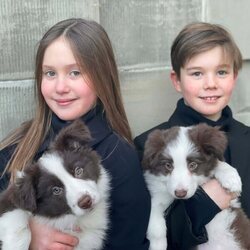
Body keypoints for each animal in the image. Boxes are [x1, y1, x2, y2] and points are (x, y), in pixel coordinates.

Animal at [0, 120, 110, 249]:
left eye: (78, 171)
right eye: (56, 190)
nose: (86, 202)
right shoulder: (8, 201)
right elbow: (18, 220)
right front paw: (15, 245)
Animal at [143, 122, 250, 250]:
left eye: (193, 165)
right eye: (168, 165)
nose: (180, 193)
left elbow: (218, 163)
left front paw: (231, 177)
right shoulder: (158, 197)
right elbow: (155, 226)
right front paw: (157, 245)